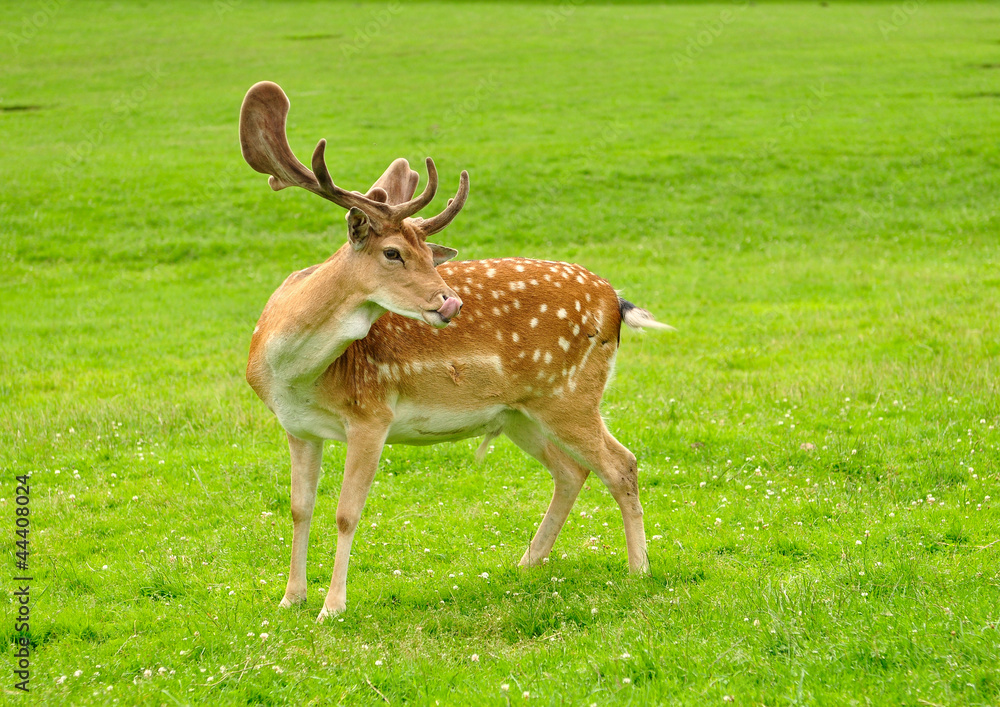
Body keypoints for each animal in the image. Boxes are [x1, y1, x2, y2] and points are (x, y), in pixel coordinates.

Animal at [240, 83, 672, 624]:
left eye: (429, 255)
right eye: (392, 253)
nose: (449, 302)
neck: (291, 372)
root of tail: (615, 302)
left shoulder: (371, 414)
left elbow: (345, 512)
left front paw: (331, 608)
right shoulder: (297, 427)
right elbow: (301, 508)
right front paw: (291, 597)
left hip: (570, 394)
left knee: (621, 463)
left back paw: (639, 569)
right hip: (519, 412)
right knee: (572, 470)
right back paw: (527, 563)